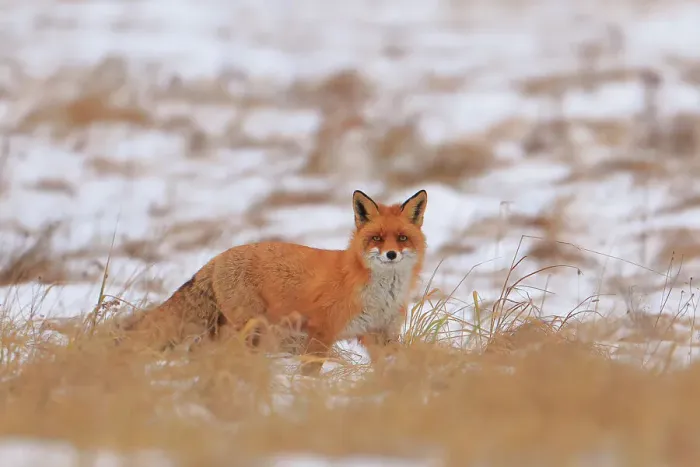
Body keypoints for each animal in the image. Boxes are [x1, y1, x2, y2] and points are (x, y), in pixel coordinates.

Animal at [122, 189, 428, 374]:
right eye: (376, 238)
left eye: (402, 238)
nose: (390, 254)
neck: (378, 294)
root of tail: (216, 258)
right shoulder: (321, 332)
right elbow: (311, 374)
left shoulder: (381, 335)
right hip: (250, 330)